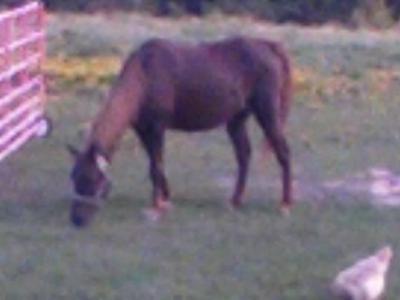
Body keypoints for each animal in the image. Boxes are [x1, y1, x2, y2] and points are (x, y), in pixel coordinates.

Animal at [68, 36, 294, 226]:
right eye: (74, 177)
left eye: (94, 179)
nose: (77, 220)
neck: (145, 74)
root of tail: (267, 45)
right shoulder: (143, 130)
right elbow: (155, 164)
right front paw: (165, 198)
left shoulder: (157, 128)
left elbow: (156, 166)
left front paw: (157, 206)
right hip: (236, 120)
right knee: (244, 155)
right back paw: (235, 201)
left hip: (266, 113)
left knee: (283, 153)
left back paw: (285, 204)